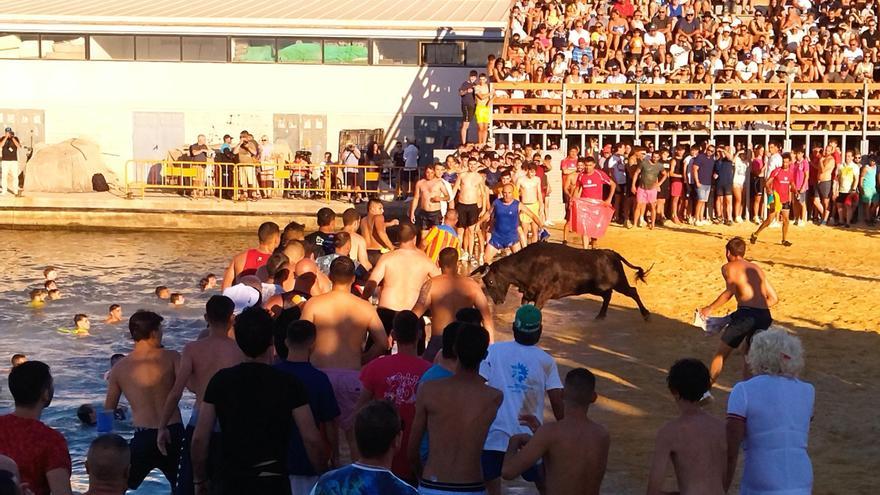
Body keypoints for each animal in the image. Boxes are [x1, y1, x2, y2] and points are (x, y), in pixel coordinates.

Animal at [470, 244, 648, 322]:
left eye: (490, 281)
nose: (499, 301)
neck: (528, 264)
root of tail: (611, 253)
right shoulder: (528, 294)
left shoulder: (543, 295)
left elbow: (536, 309)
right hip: (597, 287)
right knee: (607, 295)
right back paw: (600, 316)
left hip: (619, 283)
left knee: (632, 291)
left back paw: (646, 314)